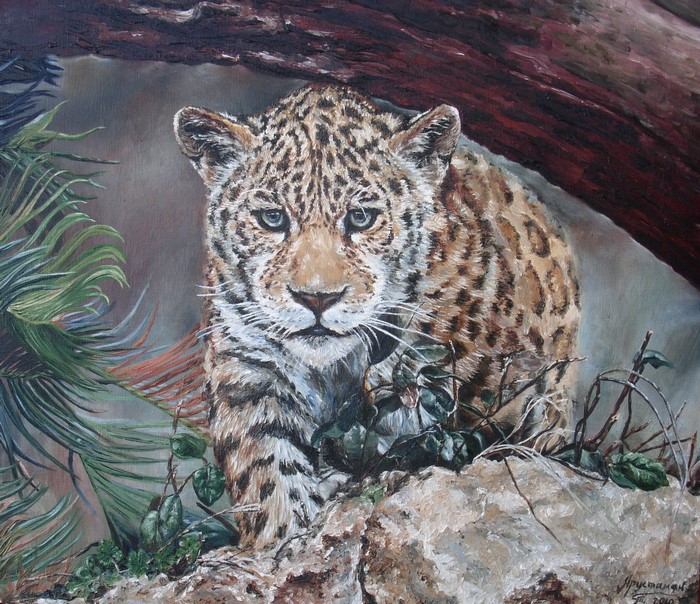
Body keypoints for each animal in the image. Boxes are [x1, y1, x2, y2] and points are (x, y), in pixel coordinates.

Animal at [174, 85, 580, 550]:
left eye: (361, 217)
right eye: (272, 218)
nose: (316, 298)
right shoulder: (248, 372)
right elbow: (265, 468)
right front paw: (279, 537)